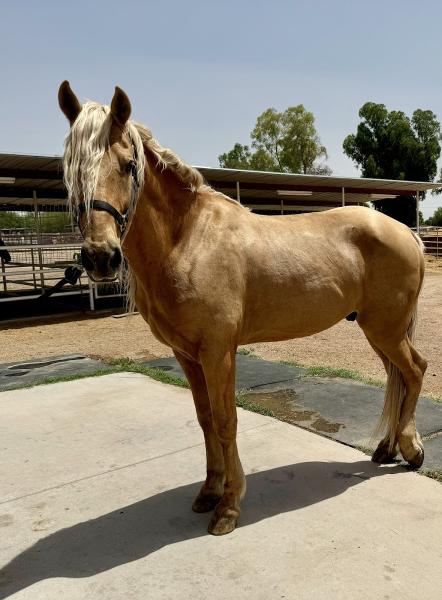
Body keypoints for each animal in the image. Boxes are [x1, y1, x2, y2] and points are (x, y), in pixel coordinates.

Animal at [59, 81, 428, 536]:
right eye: (71, 169)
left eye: (129, 166)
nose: (100, 257)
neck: (187, 239)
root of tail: (406, 233)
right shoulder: (186, 354)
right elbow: (204, 420)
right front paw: (208, 492)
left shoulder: (218, 351)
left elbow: (225, 420)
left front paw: (229, 507)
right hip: (377, 331)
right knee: (398, 377)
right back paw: (386, 448)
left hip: (386, 329)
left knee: (414, 371)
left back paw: (412, 451)